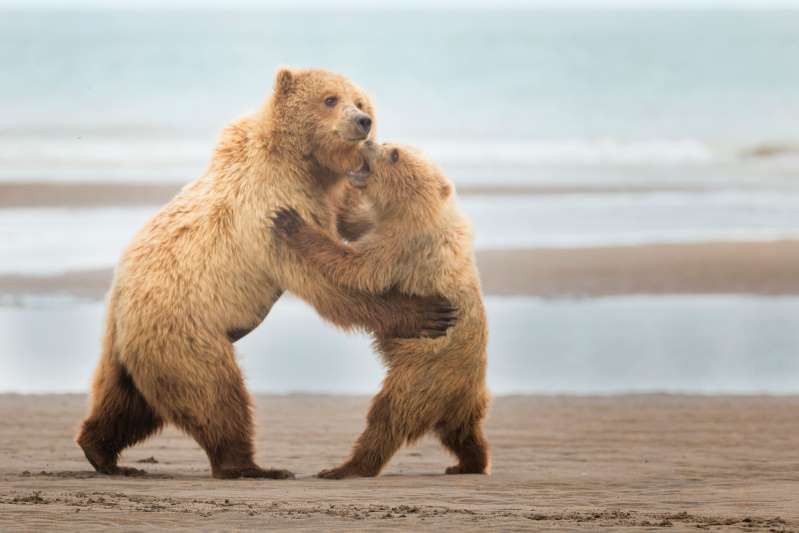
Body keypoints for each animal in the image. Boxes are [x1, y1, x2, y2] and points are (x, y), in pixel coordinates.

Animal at [79, 68, 462, 480]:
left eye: (360, 101)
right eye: (330, 99)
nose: (363, 122)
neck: (299, 162)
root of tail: (120, 303)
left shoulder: (318, 191)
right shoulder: (273, 207)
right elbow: (329, 281)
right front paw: (427, 312)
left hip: (131, 349)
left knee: (127, 403)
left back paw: (103, 453)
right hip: (183, 330)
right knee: (213, 394)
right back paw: (250, 466)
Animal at [272, 139, 490, 476]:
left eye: (395, 154)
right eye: (392, 144)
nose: (370, 141)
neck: (414, 211)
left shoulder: (402, 246)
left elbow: (357, 267)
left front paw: (291, 222)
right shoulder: (383, 224)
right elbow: (357, 222)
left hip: (421, 372)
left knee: (387, 419)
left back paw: (345, 468)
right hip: (461, 398)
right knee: (463, 431)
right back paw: (469, 463)